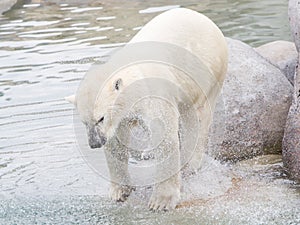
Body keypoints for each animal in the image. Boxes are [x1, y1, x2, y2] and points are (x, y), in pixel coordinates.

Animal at [66, 7, 227, 210]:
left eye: (100, 118)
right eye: (84, 122)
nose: (94, 143)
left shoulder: (154, 94)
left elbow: (164, 136)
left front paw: (161, 201)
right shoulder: (120, 117)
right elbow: (116, 143)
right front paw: (119, 192)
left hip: (206, 73)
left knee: (197, 117)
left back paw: (189, 164)